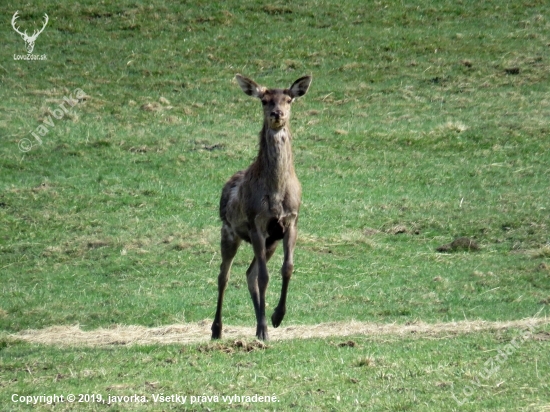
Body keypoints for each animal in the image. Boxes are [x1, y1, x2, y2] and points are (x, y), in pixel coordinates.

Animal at [212, 75, 312, 342]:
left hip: (270, 243)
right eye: (264, 101)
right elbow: (265, 277)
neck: (276, 194)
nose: (277, 114)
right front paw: (267, 326)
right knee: (224, 275)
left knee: (249, 274)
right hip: (229, 231)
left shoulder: (290, 223)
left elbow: (287, 268)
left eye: (289, 99)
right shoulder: (257, 223)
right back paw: (217, 329)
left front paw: (277, 317)